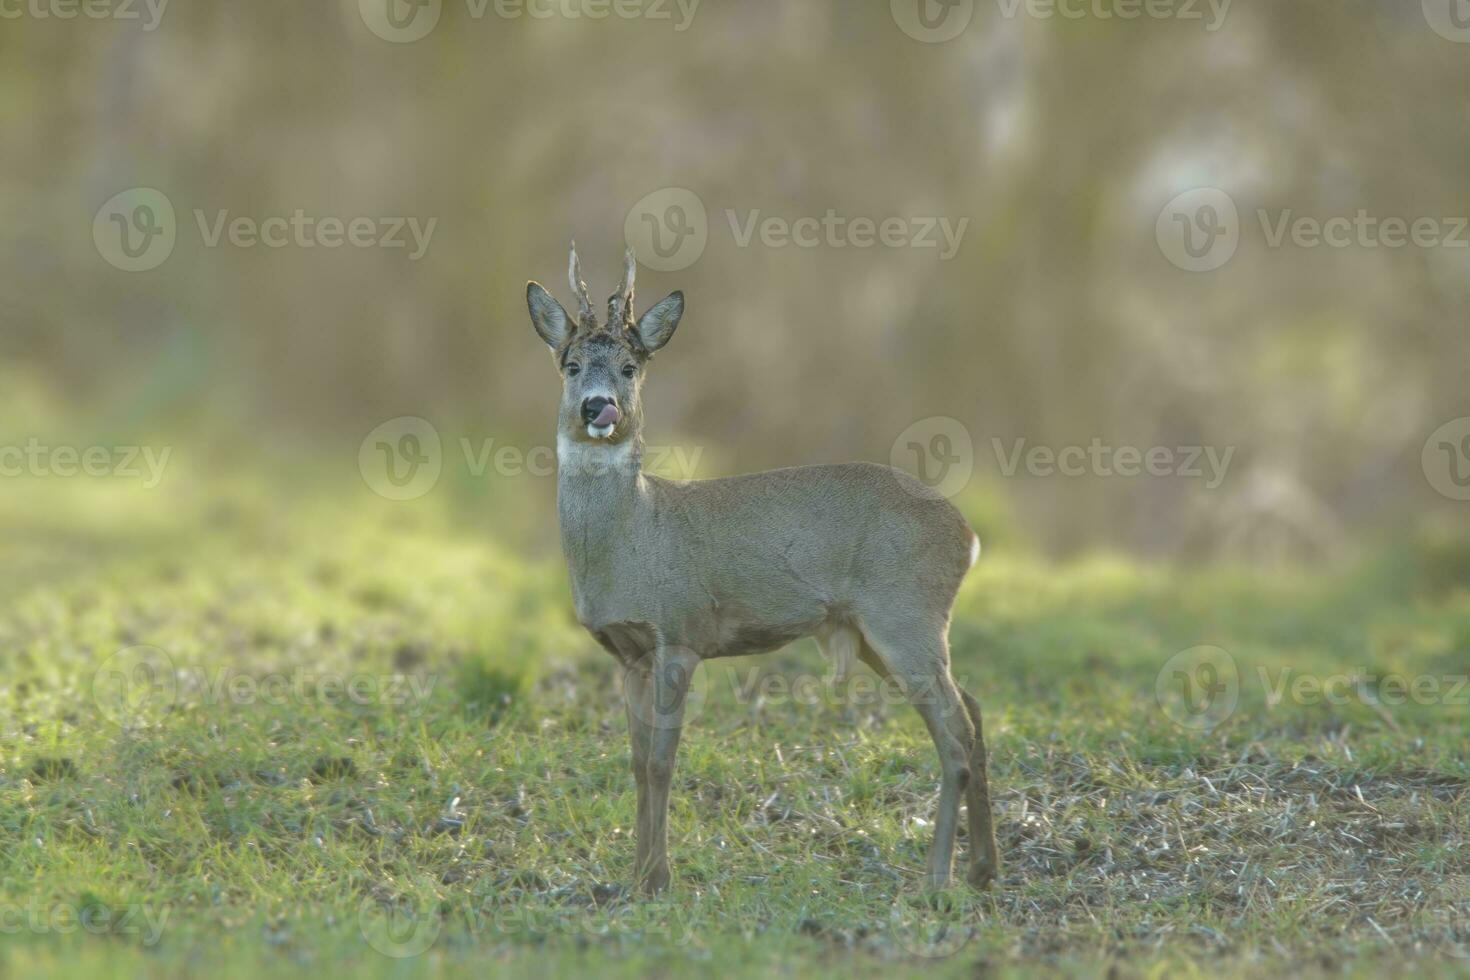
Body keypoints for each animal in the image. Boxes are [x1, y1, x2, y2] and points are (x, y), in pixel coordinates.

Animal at [526, 243, 999, 899]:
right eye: (570, 365)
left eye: (630, 366)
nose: (601, 407)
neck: (636, 537)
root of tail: (970, 537)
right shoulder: (629, 653)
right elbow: (636, 761)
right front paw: (634, 877)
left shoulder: (681, 631)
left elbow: (662, 761)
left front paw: (658, 880)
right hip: (884, 630)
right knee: (972, 709)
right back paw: (983, 870)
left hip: (904, 612)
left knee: (955, 731)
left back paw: (936, 881)